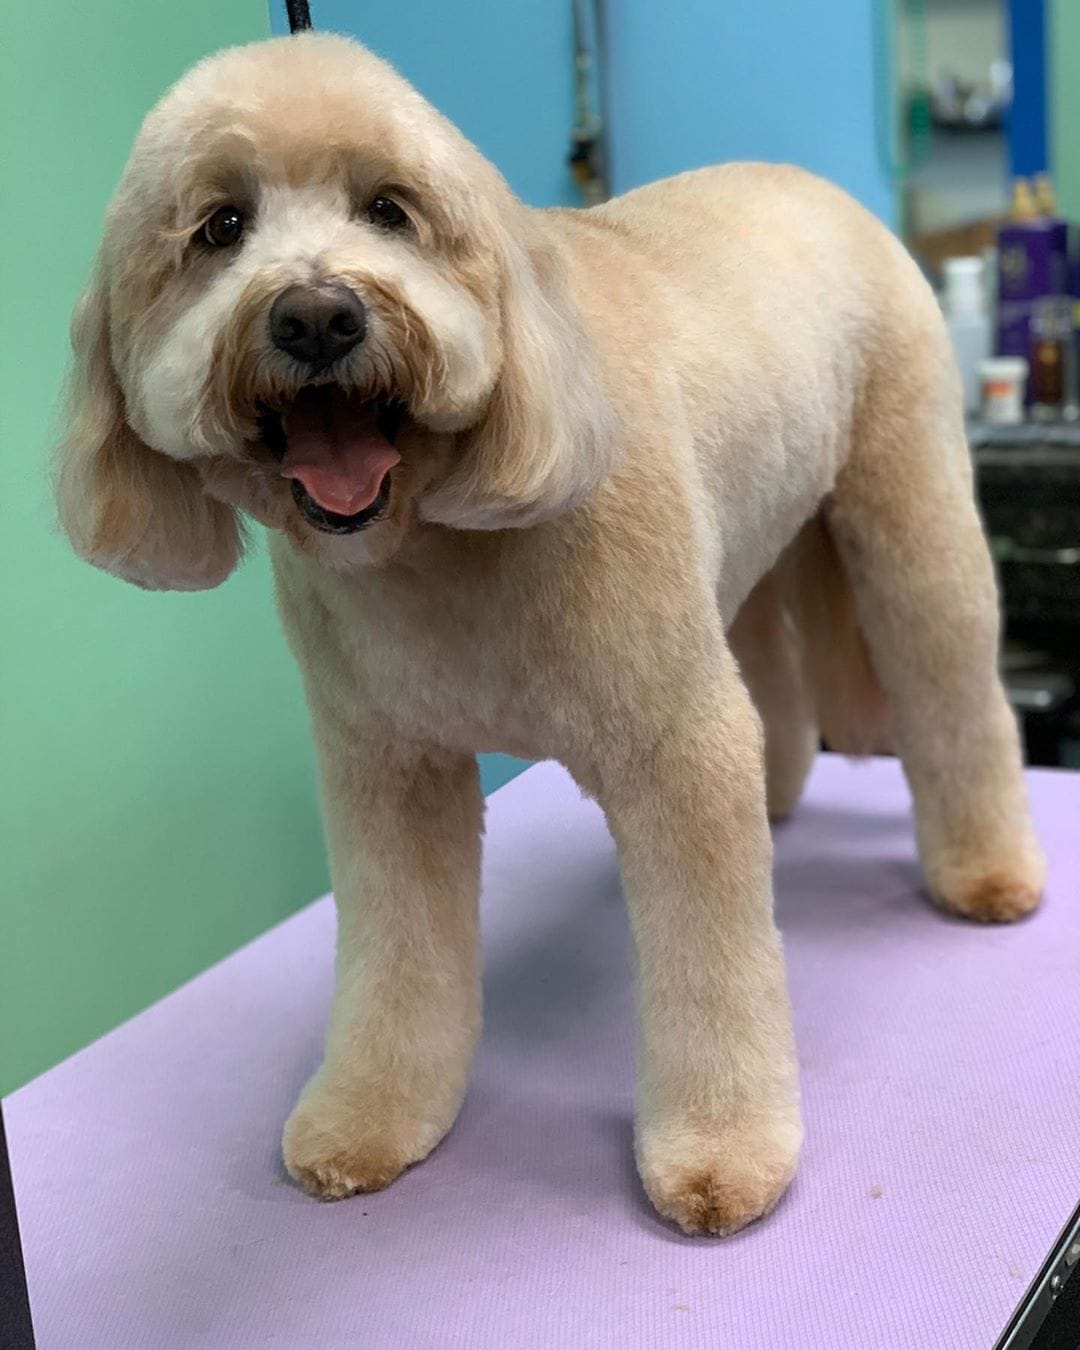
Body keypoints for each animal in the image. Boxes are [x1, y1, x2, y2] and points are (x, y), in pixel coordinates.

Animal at [52, 31, 1047, 1236]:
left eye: (389, 209)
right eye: (219, 227)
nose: (319, 315)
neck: (430, 541)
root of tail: (814, 182)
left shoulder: (675, 744)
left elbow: (714, 968)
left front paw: (720, 1156)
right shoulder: (388, 765)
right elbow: (396, 963)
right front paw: (369, 1118)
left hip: (910, 523)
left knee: (955, 686)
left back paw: (988, 873)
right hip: (743, 550)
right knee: (768, 675)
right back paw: (779, 796)